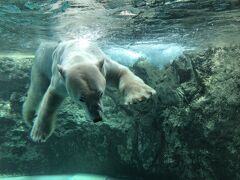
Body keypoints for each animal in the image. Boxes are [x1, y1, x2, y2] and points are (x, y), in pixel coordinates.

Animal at [22, 39, 156, 142]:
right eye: (81, 99)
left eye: (101, 93)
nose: (97, 118)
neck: (78, 54)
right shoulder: (60, 80)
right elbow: (51, 98)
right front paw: (38, 134)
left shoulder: (104, 66)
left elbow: (121, 71)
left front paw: (139, 96)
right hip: (41, 62)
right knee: (37, 89)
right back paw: (29, 117)